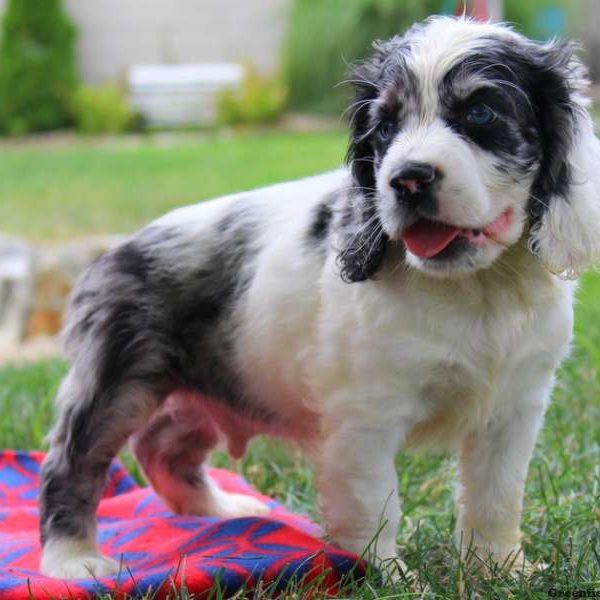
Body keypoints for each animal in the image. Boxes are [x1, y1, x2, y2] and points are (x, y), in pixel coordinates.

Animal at [39, 16, 600, 580]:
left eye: (481, 113)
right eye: (385, 128)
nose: (407, 179)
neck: (477, 288)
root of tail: (112, 254)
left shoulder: (515, 408)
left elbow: (497, 495)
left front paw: (499, 568)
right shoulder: (364, 418)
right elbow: (376, 503)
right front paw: (386, 575)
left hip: (211, 383)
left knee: (164, 449)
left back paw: (222, 511)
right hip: (118, 382)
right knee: (73, 461)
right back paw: (74, 559)